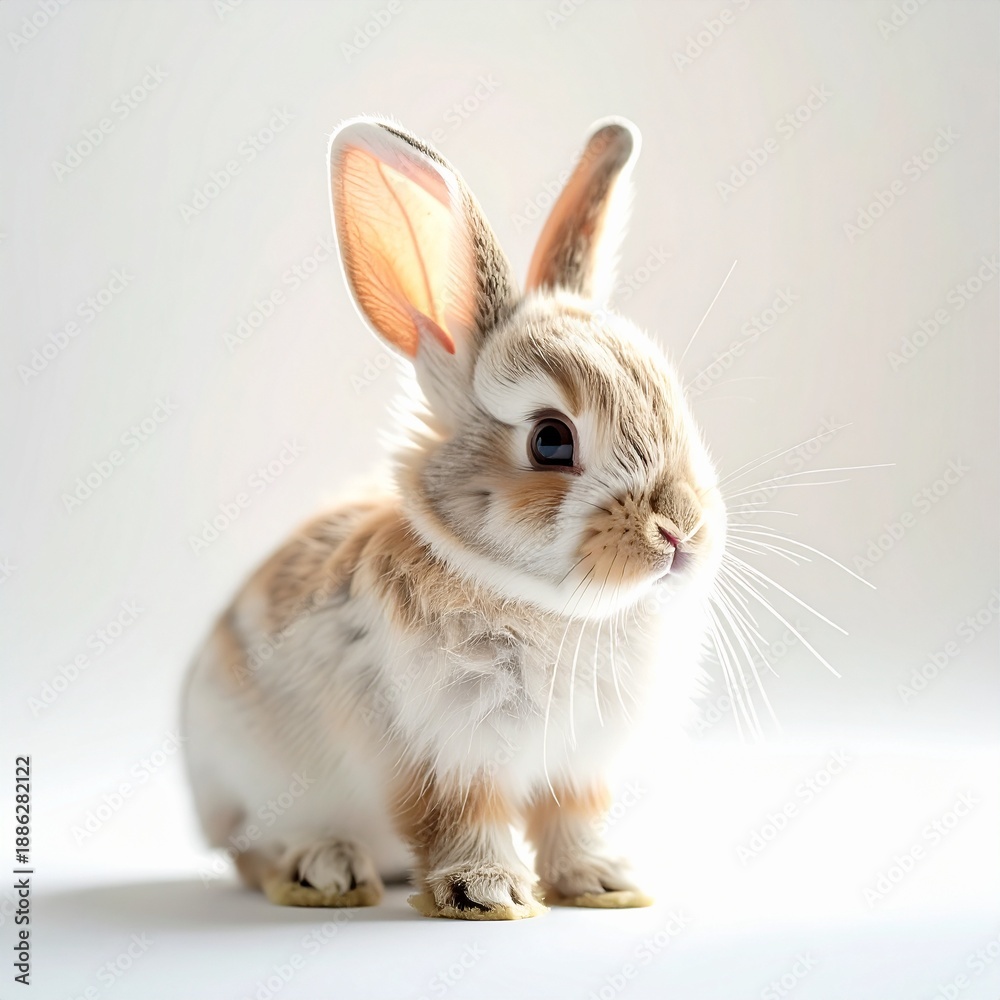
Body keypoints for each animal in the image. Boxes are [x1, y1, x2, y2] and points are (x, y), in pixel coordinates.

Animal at [181, 114, 727, 920]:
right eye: (551, 440)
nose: (680, 531)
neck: (556, 609)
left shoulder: (577, 765)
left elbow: (571, 820)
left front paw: (604, 884)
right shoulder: (439, 750)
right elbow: (459, 818)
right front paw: (487, 894)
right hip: (251, 782)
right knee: (254, 851)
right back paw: (326, 871)